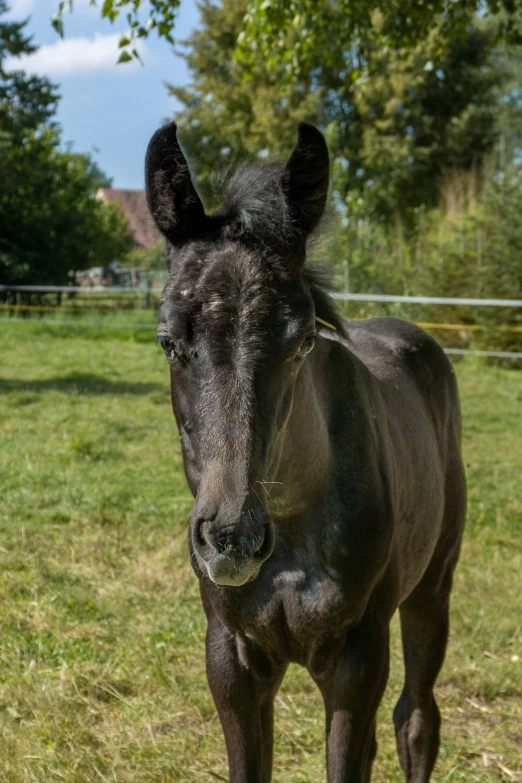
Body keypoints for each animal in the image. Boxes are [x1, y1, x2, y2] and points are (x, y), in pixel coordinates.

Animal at [145, 122, 464, 783]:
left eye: (303, 342)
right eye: (168, 341)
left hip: (433, 587)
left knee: (417, 719)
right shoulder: (232, 660)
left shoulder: (356, 662)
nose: (232, 539)